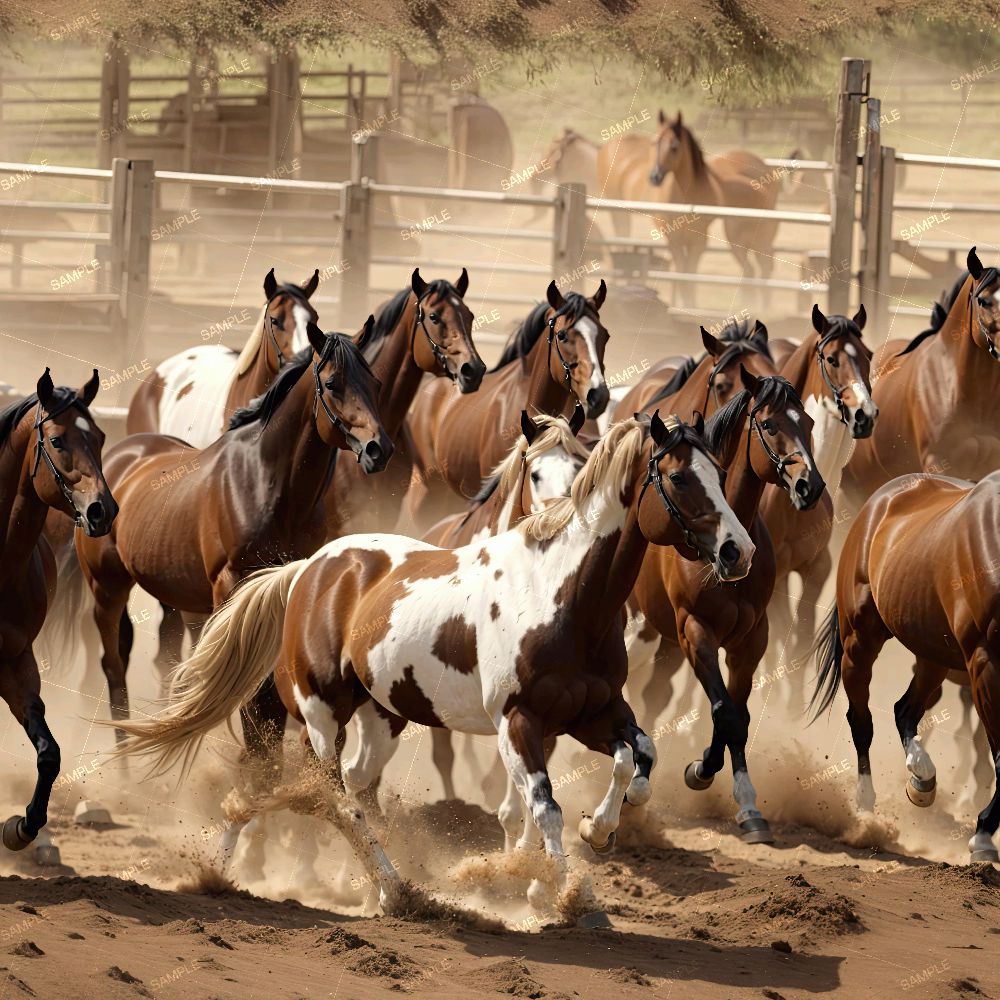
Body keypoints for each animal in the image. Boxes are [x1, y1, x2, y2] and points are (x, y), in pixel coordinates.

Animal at [72, 322, 391, 736]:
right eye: (334, 383)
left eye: (375, 382)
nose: (379, 449)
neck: (265, 484)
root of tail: (117, 458)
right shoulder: (232, 588)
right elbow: (252, 695)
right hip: (106, 589)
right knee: (114, 668)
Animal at [112, 411, 755, 912]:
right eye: (678, 477)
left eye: (720, 475)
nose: (738, 551)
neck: (562, 594)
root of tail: (308, 569)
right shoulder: (518, 722)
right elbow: (543, 807)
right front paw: (571, 894)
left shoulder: (591, 713)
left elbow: (637, 759)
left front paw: (598, 831)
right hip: (321, 715)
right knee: (331, 796)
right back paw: (391, 890)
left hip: (383, 715)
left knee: (350, 787)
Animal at [597, 110, 781, 301]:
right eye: (655, 143)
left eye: (674, 146)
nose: (655, 177)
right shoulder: (674, 241)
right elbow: (682, 277)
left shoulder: (697, 243)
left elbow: (689, 277)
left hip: (751, 240)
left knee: (760, 271)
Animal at [812, 469, 1000, 864]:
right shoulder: (986, 664)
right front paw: (983, 838)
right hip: (859, 640)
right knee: (861, 720)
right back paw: (866, 810)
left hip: (933, 655)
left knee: (905, 710)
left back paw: (922, 777)